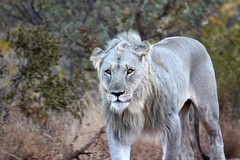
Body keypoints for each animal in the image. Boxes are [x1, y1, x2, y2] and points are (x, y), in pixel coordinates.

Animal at [91, 30, 226, 159]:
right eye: (108, 71)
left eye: (130, 71)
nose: (116, 93)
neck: (136, 104)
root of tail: (195, 41)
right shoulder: (117, 131)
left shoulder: (172, 125)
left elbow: (170, 156)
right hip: (182, 115)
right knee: (188, 150)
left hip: (207, 111)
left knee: (217, 138)